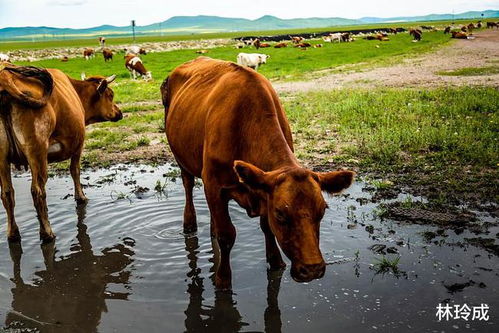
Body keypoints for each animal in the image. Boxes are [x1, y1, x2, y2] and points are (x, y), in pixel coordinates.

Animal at [0, 63, 121, 243]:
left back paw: (13, 234)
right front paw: (81, 197)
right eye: (110, 95)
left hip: (2, 158)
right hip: (37, 151)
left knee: (7, 193)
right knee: (37, 191)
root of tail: (5, 76)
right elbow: (75, 171)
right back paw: (47, 233)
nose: (119, 112)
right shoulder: (79, 144)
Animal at [161, 56, 356, 288]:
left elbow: (265, 227)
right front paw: (222, 279)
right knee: (188, 186)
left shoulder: (263, 189)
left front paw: (276, 262)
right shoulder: (214, 184)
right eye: (280, 214)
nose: (312, 269)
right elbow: (227, 235)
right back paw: (189, 224)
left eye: (323, 210)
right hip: (181, 159)